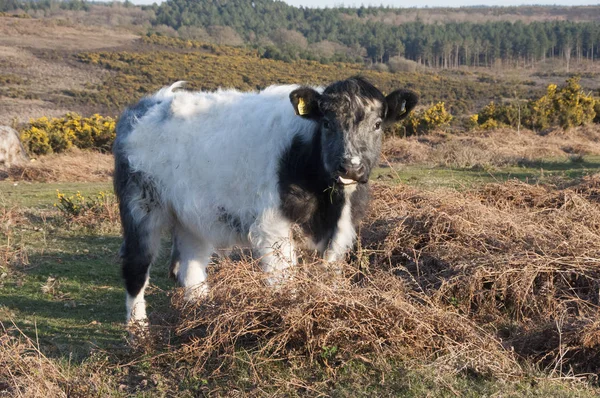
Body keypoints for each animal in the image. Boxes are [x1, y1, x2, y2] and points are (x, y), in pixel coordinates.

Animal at [113, 76, 418, 324]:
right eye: (327, 123)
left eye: (377, 124)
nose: (350, 166)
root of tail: (150, 103)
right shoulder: (273, 228)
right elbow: (285, 282)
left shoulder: (341, 229)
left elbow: (328, 276)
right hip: (141, 206)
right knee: (136, 265)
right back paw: (138, 331)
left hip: (193, 215)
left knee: (191, 266)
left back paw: (200, 314)